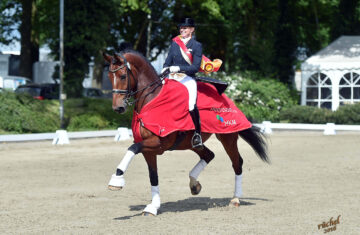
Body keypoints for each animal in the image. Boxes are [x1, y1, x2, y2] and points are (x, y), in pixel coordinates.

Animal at [102, 50, 268, 217]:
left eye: (123, 76)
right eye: (109, 76)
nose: (118, 108)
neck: (151, 101)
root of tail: (228, 100)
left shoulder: (158, 143)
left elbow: (132, 148)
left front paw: (116, 180)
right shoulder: (149, 150)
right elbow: (153, 176)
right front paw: (152, 207)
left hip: (227, 136)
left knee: (237, 162)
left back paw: (235, 199)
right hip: (191, 143)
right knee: (209, 155)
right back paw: (194, 185)